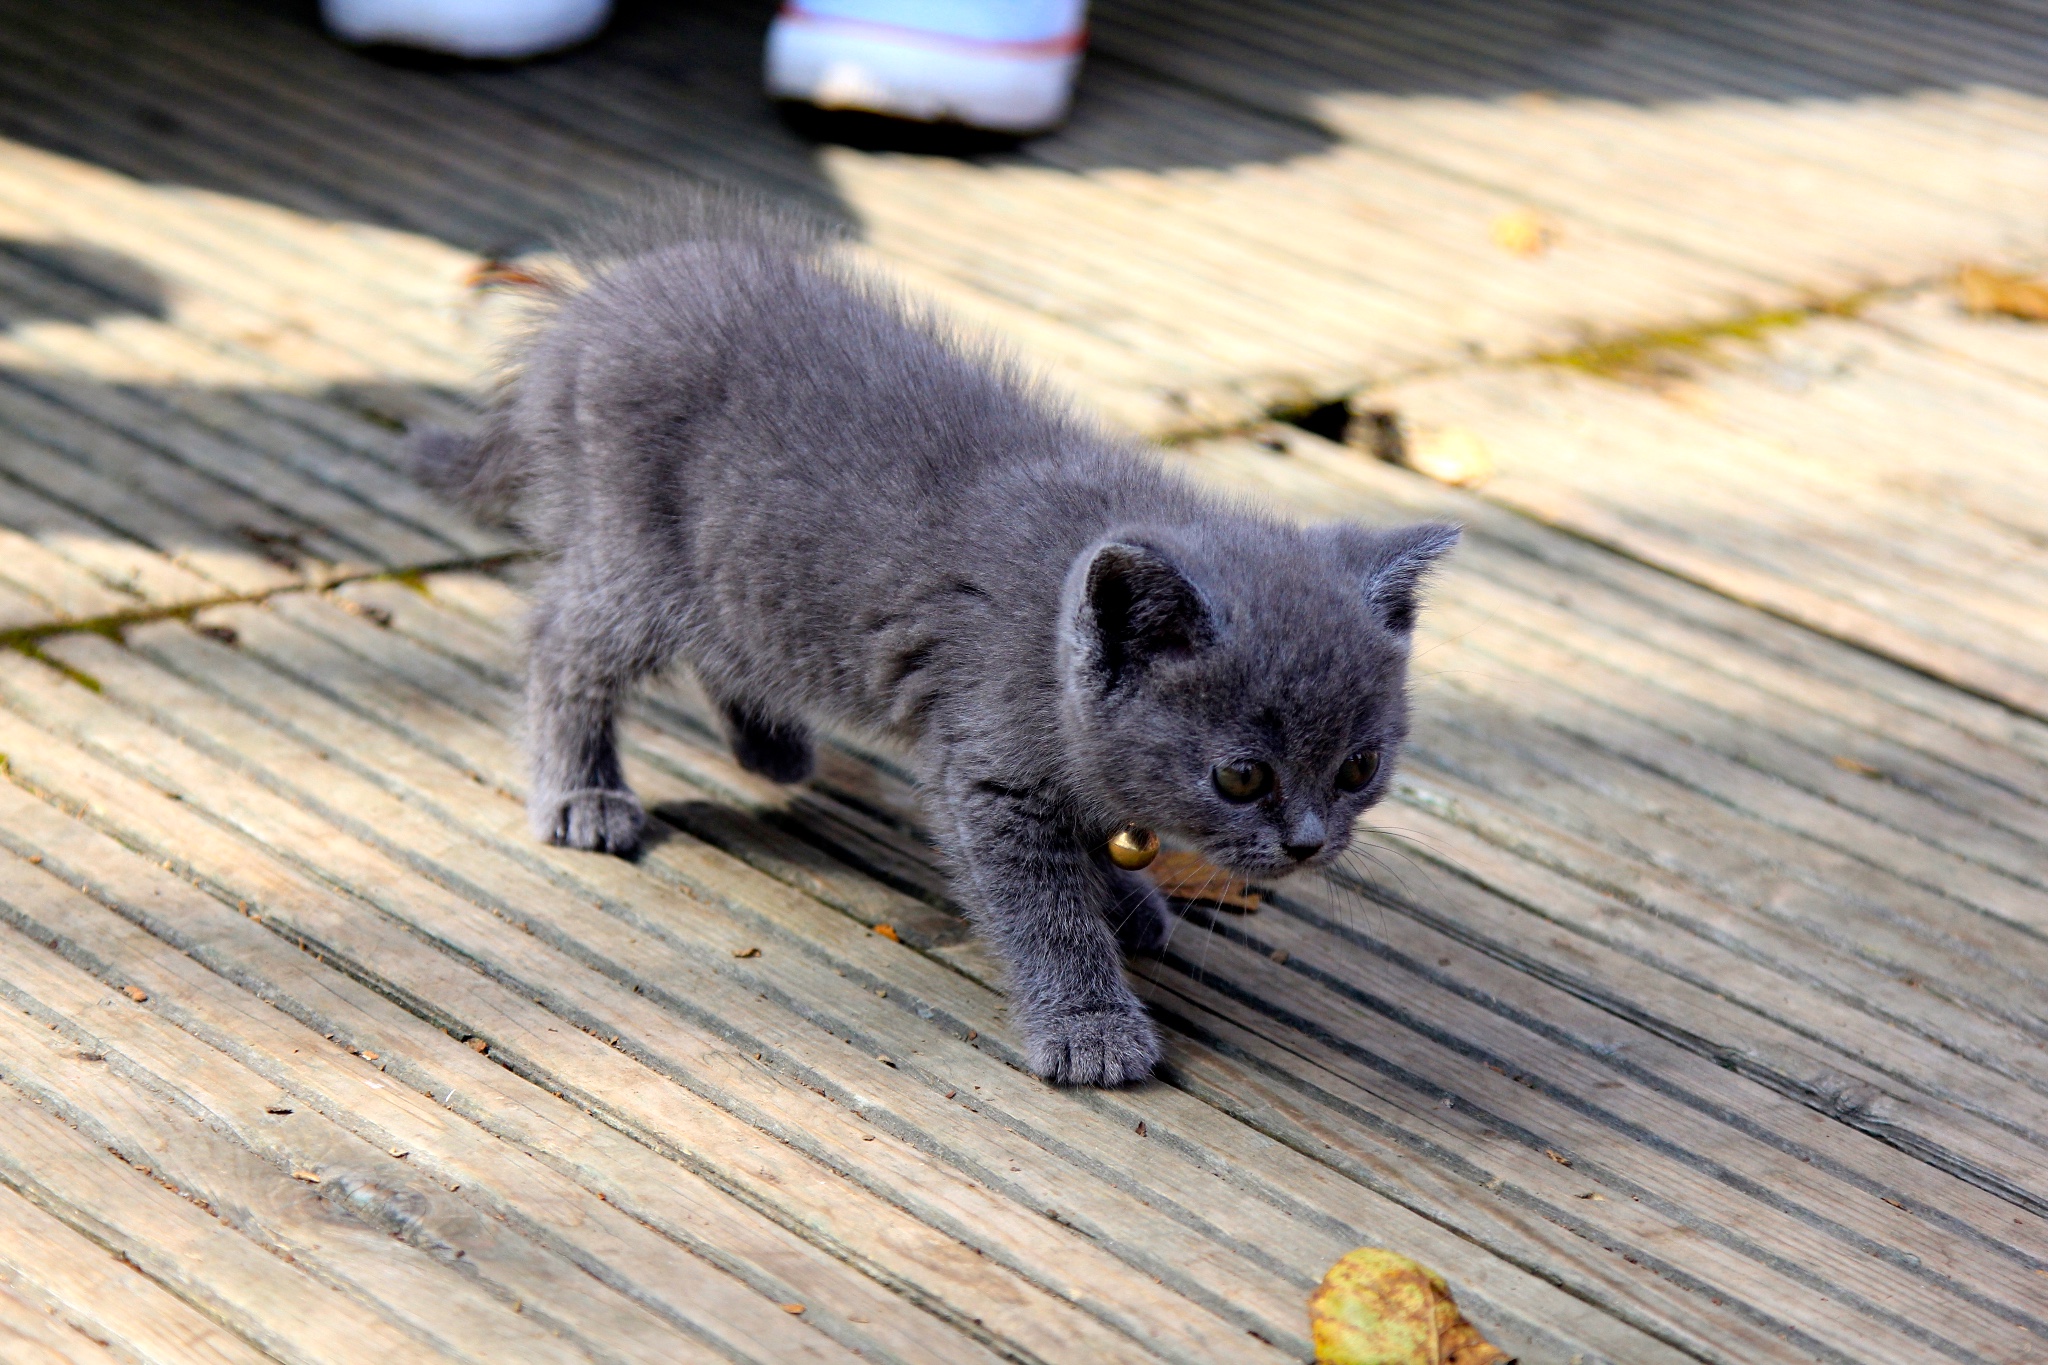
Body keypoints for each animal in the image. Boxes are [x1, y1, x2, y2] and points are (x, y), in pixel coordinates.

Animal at [407, 215, 1449, 1088]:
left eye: (1359, 767)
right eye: (1241, 776)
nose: (1309, 843)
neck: (1050, 649)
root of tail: (586, 311)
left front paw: (1126, 897)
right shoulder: (989, 770)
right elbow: (1038, 907)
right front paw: (1091, 1023)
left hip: (736, 581)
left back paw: (770, 746)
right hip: (638, 556)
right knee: (560, 638)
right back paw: (582, 793)